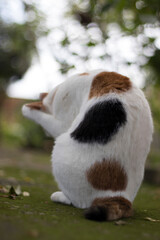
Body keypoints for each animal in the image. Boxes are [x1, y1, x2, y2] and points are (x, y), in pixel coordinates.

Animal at [21, 69, 153, 221]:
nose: (45, 134)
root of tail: (119, 196)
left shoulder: (63, 122)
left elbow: (41, 116)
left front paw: (26, 108)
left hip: (60, 150)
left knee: (78, 202)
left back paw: (59, 196)